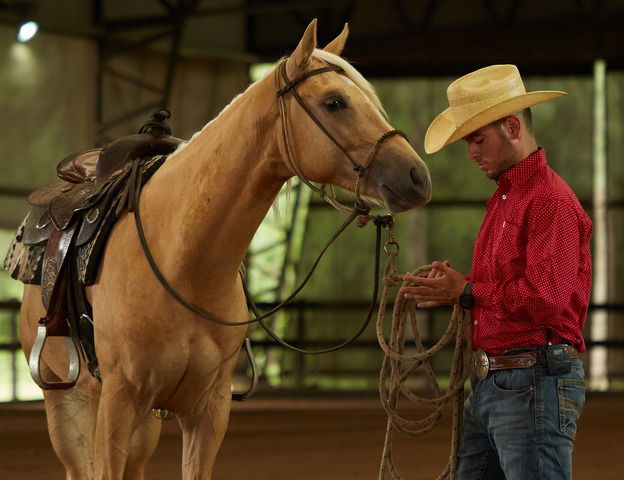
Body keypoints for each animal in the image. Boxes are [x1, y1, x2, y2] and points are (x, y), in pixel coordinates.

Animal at [17, 19, 432, 480]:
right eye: (334, 102)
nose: (417, 176)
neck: (181, 258)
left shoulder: (207, 412)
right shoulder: (118, 403)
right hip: (69, 406)